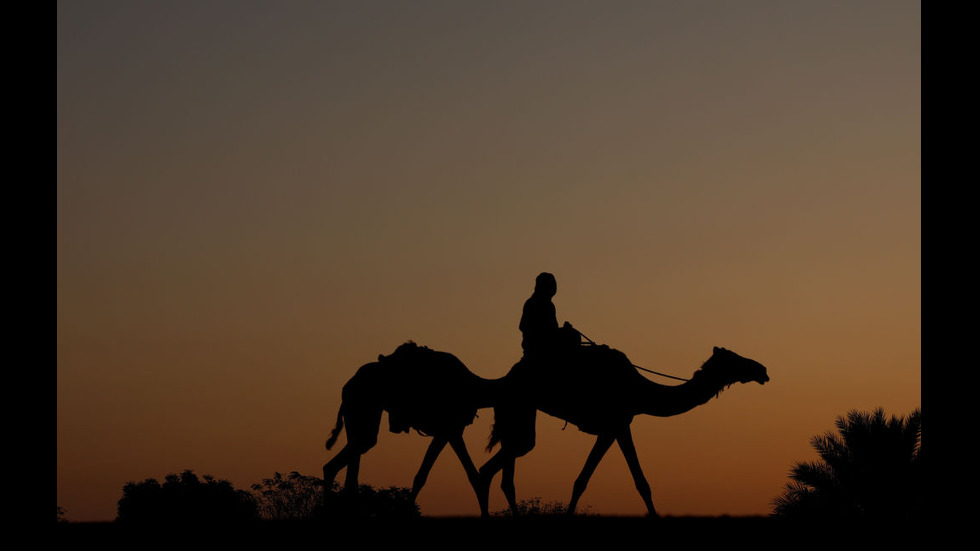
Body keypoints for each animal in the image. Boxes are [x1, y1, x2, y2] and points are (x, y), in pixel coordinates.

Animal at [324, 342, 506, 512]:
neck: (475, 388)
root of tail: (348, 384)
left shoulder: (449, 431)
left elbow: (423, 476)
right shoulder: (450, 429)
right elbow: (471, 475)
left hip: (357, 416)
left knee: (350, 467)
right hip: (361, 406)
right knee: (336, 464)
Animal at [474, 344, 764, 516]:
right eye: (735, 359)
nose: (762, 369)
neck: (639, 390)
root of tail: (504, 378)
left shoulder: (613, 428)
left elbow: (583, 480)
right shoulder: (618, 424)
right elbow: (638, 482)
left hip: (517, 416)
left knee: (505, 471)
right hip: (518, 409)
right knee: (492, 468)